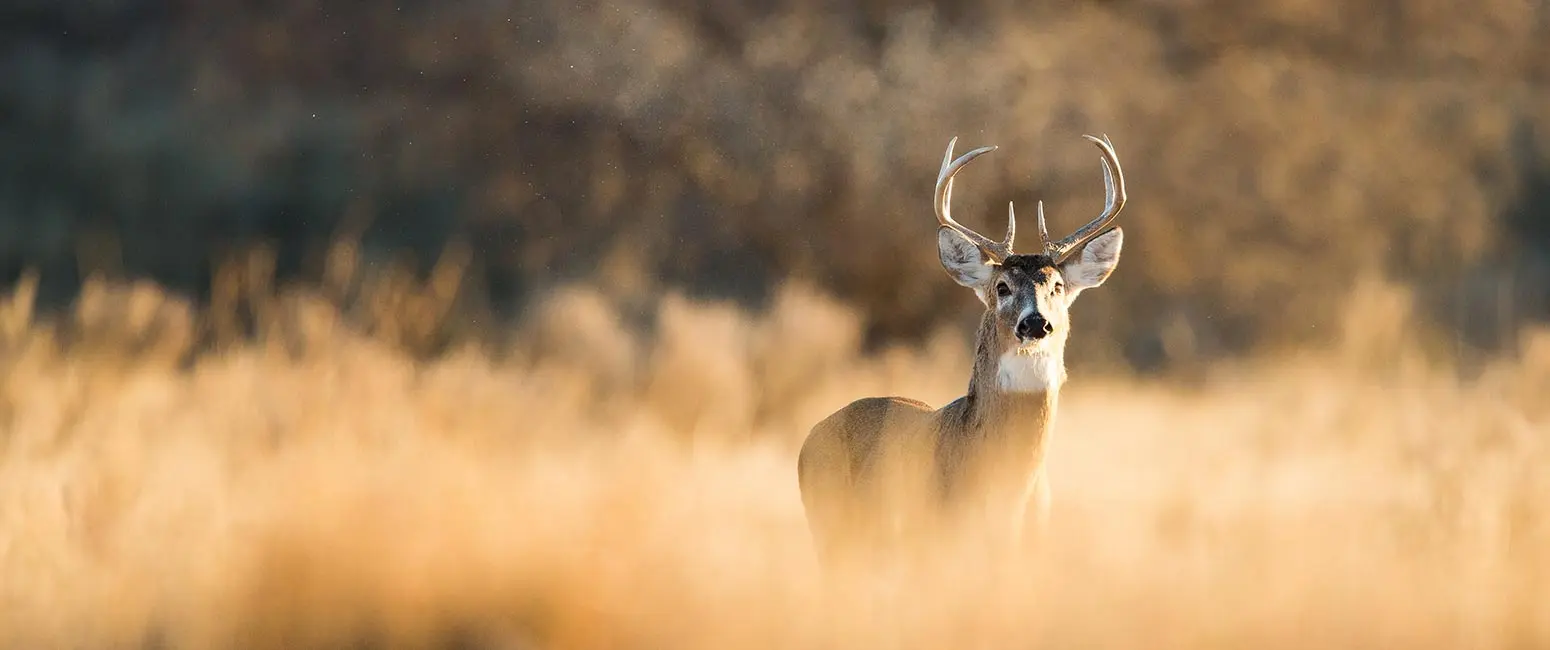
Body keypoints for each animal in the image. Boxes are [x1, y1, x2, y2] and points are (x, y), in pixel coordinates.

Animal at [796, 134, 1127, 570]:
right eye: (1002, 286)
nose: (1035, 323)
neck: (1007, 490)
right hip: (830, 528)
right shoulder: (942, 541)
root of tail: (809, 438)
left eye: (1057, 286)